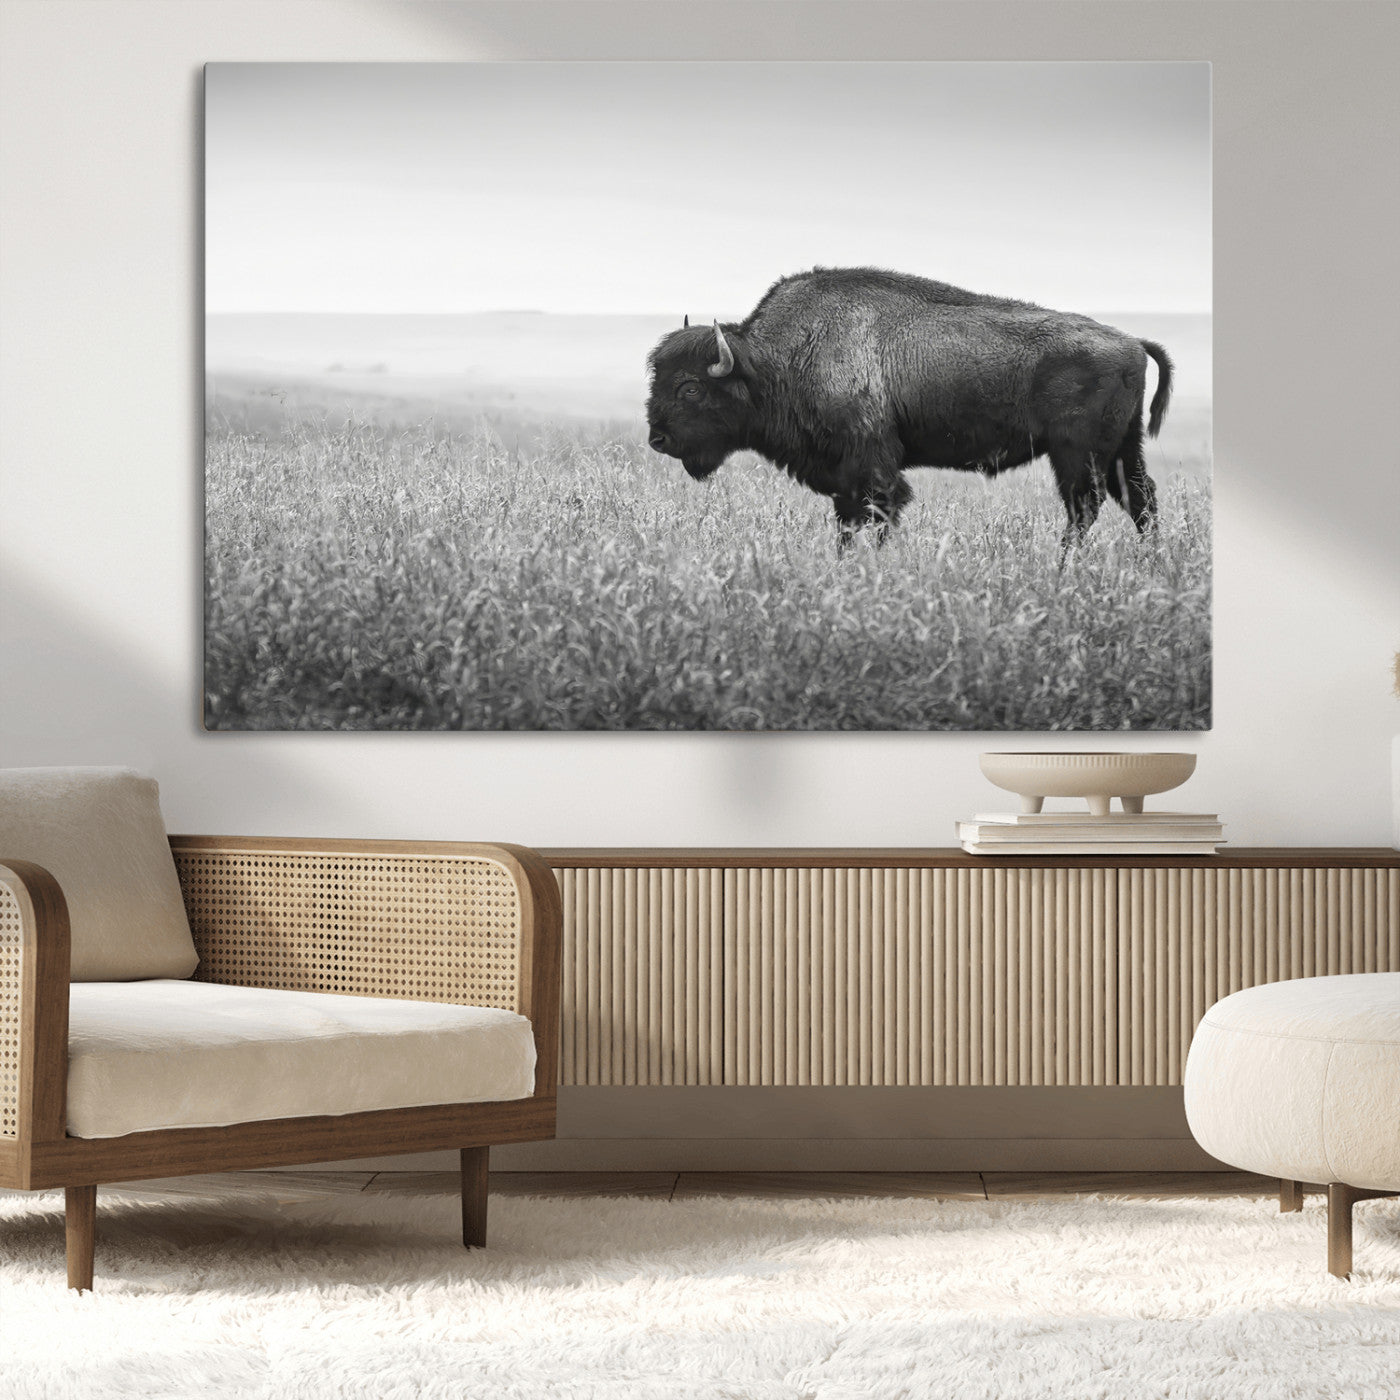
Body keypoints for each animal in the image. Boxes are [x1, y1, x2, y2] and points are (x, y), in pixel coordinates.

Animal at [645, 267, 1173, 551]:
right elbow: (848, 523)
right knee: (1140, 500)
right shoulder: (844, 479)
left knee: (1086, 507)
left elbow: (879, 515)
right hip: (1122, 448)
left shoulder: (873, 468)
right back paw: (1149, 563)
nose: (657, 439)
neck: (777, 360)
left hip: (1076, 454)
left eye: (690, 388)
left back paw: (1063, 566)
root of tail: (1132, 341)